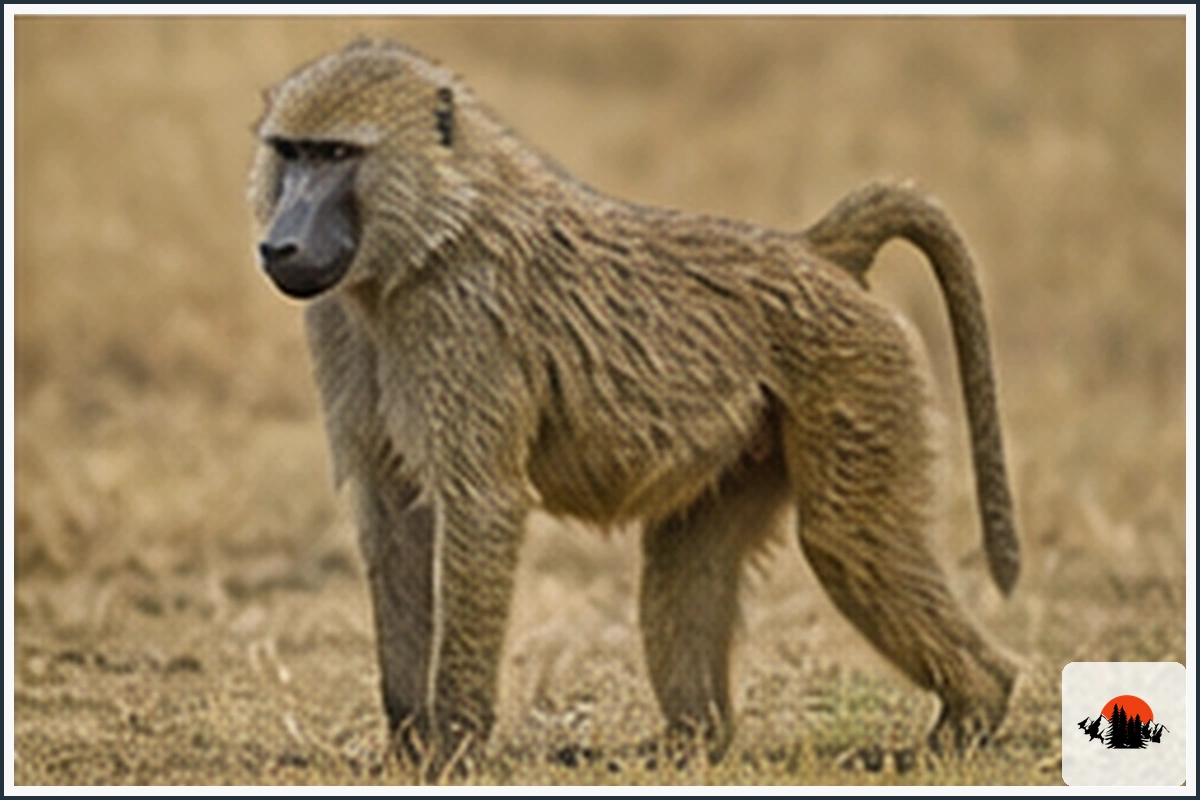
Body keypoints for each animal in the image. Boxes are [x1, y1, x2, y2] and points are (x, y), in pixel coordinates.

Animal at [248, 39, 1019, 777]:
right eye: (291, 152)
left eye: (338, 155)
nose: (280, 245)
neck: (429, 239)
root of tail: (816, 252)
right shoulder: (345, 325)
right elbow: (392, 513)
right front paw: (407, 747)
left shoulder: (460, 327)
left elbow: (479, 505)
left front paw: (452, 754)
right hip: (754, 441)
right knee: (689, 564)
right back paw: (690, 744)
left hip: (853, 380)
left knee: (847, 542)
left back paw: (971, 716)